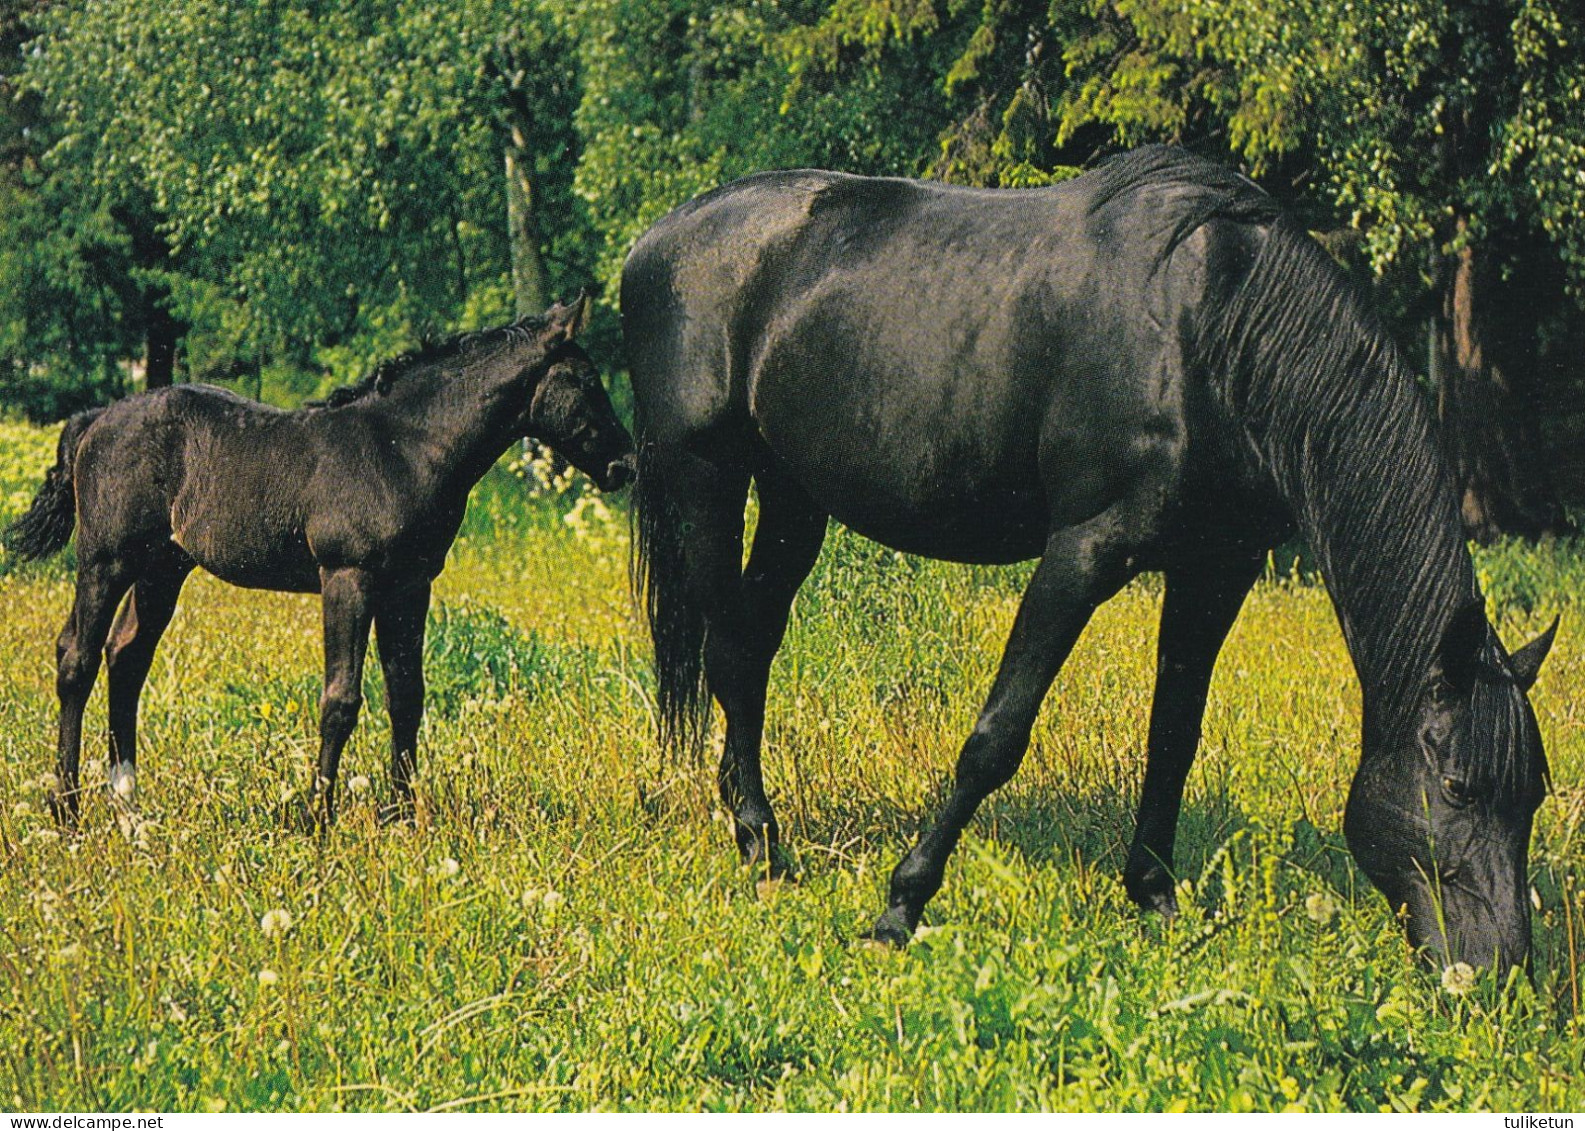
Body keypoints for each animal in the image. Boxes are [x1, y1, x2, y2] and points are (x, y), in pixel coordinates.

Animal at [10, 297, 637, 830]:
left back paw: (128, 806)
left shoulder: (410, 586)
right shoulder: (347, 578)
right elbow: (341, 698)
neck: (402, 450)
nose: (625, 464)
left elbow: (407, 694)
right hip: (106, 560)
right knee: (77, 658)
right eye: (587, 381)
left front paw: (401, 817)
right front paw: (318, 817)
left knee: (127, 658)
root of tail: (94, 420)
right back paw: (65, 809)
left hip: (161, 568)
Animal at [621, 147, 1559, 969]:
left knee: (752, 647)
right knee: (726, 651)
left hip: (792, 497)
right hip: (707, 477)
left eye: (1534, 793)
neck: (1215, 330)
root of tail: (654, 241)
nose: (1497, 972)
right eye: (1460, 787)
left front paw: (1155, 898)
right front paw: (899, 906)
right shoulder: (1083, 552)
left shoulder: (1215, 567)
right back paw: (757, 842)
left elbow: (1173, 733)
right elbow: (996, 735)